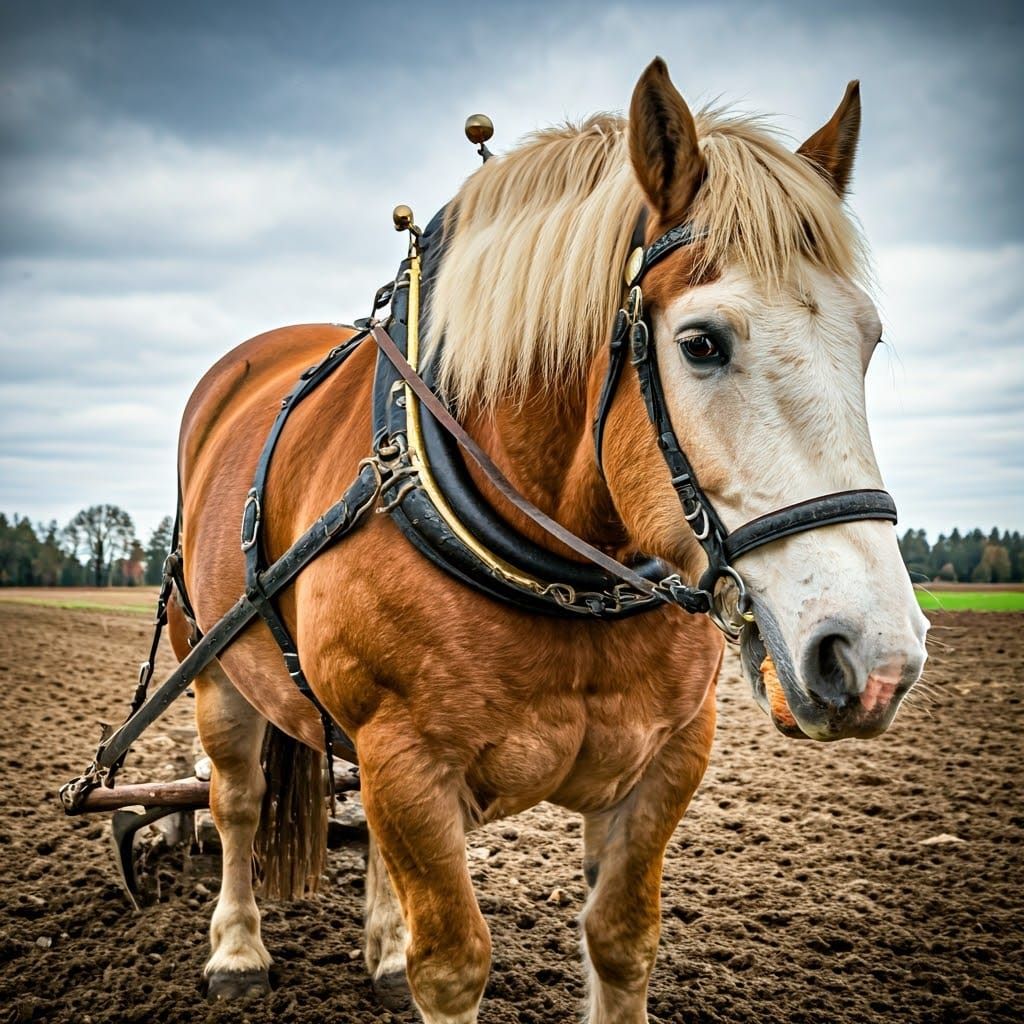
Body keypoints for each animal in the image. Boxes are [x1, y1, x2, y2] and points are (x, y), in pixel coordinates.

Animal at [165, 57, 928, 1024]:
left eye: (867, 338)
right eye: (701, 342)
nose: (875, 658)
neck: (559, 571)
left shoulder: (668, 758)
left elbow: (621, 943)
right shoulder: (406, 762)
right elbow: (452, 964)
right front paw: (360, 954)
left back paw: (381, 945)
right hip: (214, 669)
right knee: (234, 798)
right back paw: (237, 947)